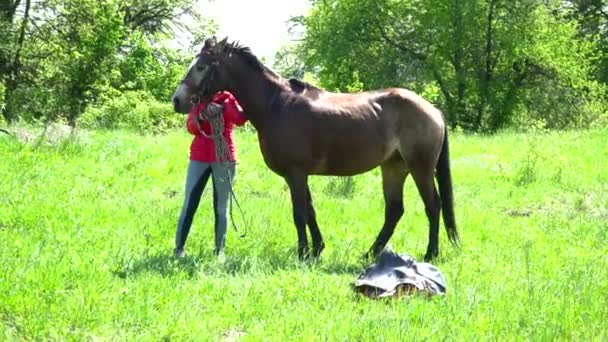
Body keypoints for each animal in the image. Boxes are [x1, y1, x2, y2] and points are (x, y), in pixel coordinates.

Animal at [171, 38, 456, 262]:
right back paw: (370, 254)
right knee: (394, 211)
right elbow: (310, 211)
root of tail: (433, 110)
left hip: (420, 169)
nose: (177, 100)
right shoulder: (300, 174)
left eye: (201, 67)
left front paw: (302, 252)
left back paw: (430, 254)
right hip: (394, 168)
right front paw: (316, 249)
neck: (276, 105)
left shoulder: (295, 173)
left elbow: (299, 213)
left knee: (433, 206)